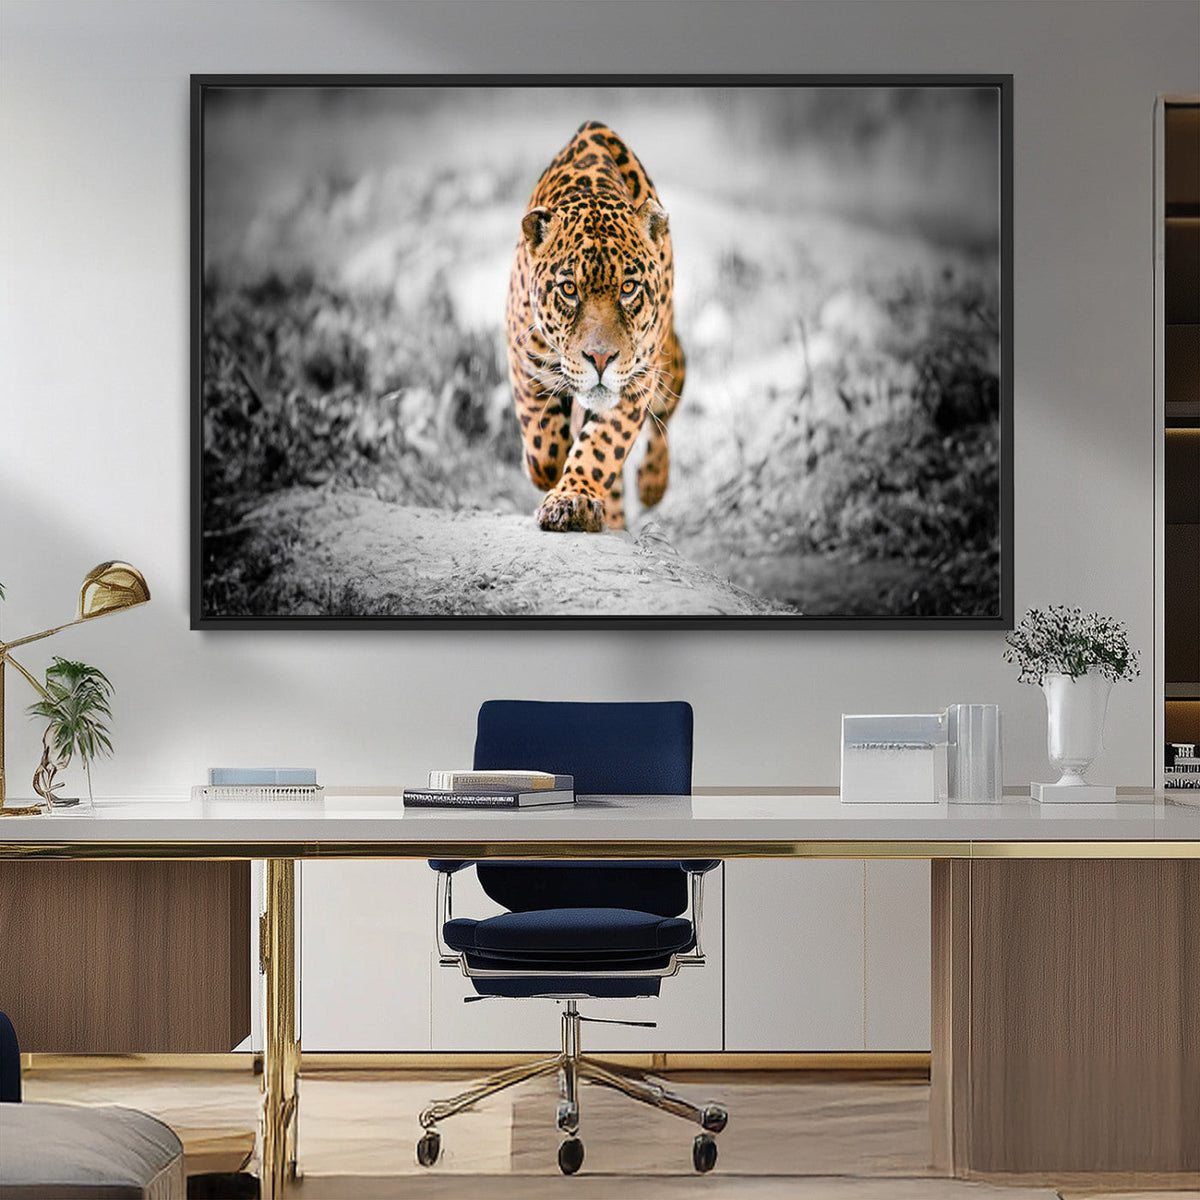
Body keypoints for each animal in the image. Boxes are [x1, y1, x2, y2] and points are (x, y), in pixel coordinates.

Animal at [505, 120, 685, 533]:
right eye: (569, 289)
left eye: (629, 288)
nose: (601, 359)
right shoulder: (524, 357)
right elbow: (543, 445)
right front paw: (549, 472)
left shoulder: (637, 380)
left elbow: (602, 446)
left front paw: (572, 499)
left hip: (669, 364)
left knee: (665, 416)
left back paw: (651, 484)